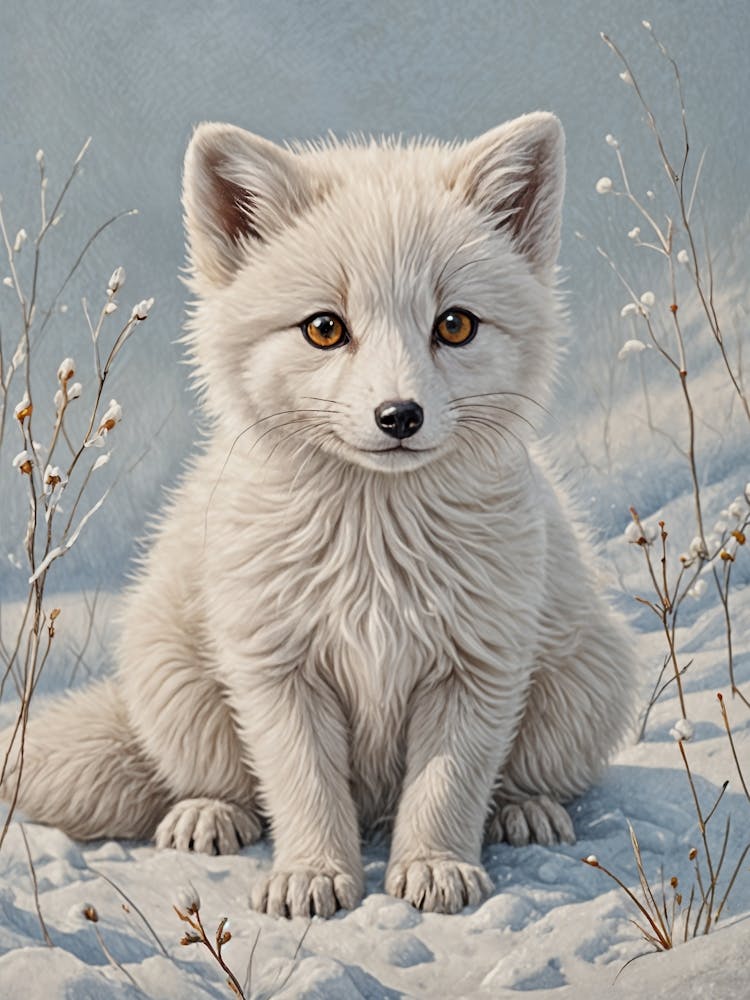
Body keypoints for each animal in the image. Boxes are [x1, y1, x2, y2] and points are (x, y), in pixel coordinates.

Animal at [2, 112, 635, 917]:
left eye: (455, 325)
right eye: (325, 329)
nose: (400, 416)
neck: (376, 552)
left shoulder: (478, 663)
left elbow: (447, 785)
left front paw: (434, 870)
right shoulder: (277, 667)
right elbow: (303, 785)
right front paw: (312, 877)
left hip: (586, 675)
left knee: (522, 776)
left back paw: (525, 810)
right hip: (171, 674)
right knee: (215, 779)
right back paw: (208, 816)